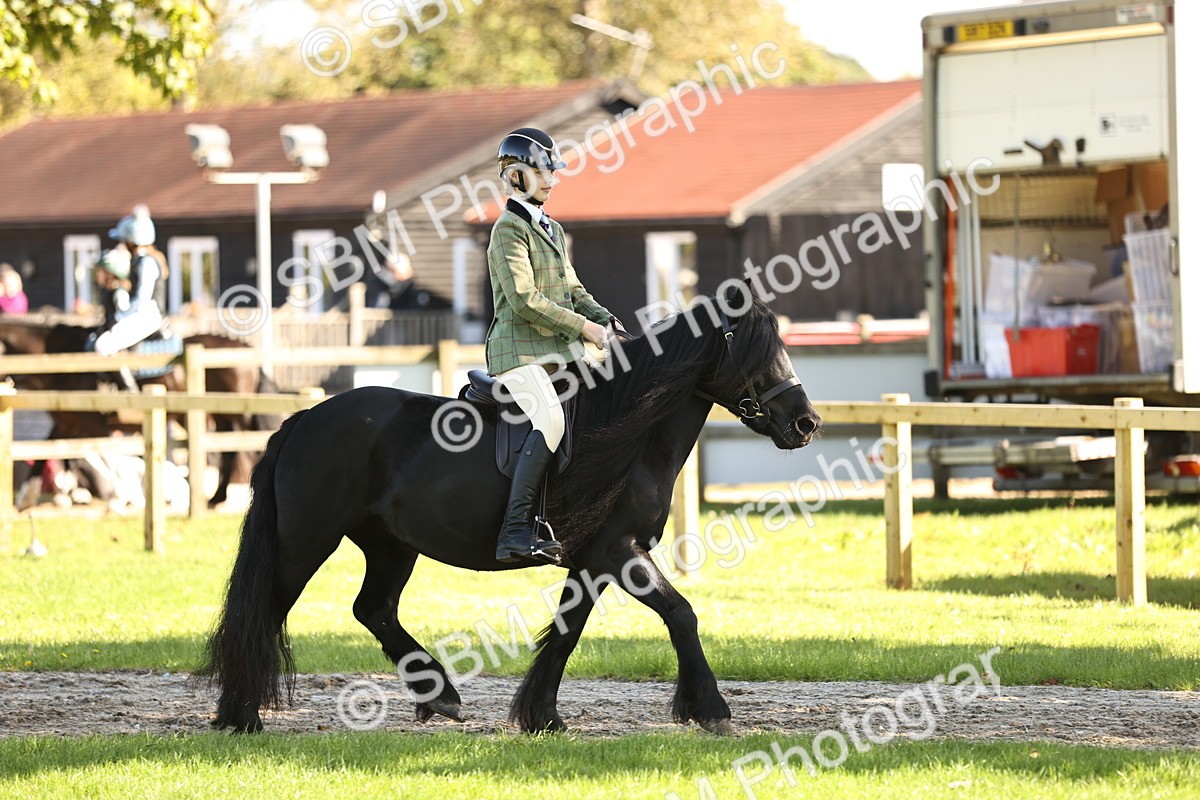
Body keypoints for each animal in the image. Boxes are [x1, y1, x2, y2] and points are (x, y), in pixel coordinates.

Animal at [0, 319, 281, 507]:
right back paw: (216, 497)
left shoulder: (94, 424)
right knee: (228, 451)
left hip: (238, 413)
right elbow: (52, 453)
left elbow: (108, 454)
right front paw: (29, 497)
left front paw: (119, 496)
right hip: (218, 415)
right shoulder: (67, 423)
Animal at [198, 287, 822, 734]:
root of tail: (306, 418)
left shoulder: (594, 559)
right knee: (266, 612)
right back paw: (241, 717)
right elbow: (680, 613)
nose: (806, 423)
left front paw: (540, 715)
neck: (630, 431)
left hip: (390, 545)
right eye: (753, 348)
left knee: (373, 609)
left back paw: (441, 698)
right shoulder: (618, 551)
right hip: (304, 542)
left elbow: (569, 631)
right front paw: (710, 708)